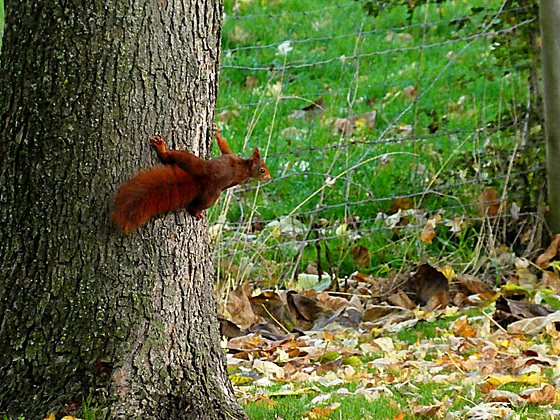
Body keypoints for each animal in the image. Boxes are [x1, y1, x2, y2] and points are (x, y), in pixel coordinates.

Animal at [110, 124, 270, 233]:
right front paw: (217, 133)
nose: (268, 177)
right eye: (262, 170)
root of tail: (199, 181)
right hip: (193, 165)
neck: (245, 166)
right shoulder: (231, 156)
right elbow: (224, 146)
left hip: (194, 169)